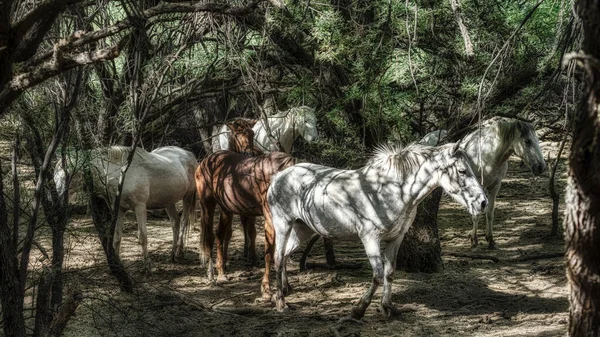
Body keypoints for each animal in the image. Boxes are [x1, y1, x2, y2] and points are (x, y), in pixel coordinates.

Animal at [54, 146, 197, 270]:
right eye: (55, 176)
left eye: (67, 174)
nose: (57, 200)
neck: (121, 176)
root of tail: (188, 154)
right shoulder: (119, 210)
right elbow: (117, 237)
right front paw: (117, 263)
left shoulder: (140, 207)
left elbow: (142, 237)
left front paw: (147, 265)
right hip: (168, 202)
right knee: (175, 222)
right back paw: (172, 255)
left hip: (188, 197)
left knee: (183, 221)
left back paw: (178, 252)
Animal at [197, 151, 298, 298]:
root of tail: (205, 161)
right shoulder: (270, 222)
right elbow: (269, 255)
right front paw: (266, 289)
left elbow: (283, 254)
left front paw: (286, 287)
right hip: (207, 204)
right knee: (209, 237)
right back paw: (211, 275)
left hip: (226, 209)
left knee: (220, 235)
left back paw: (222, 273)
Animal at [268, 142, 488, 318]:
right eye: (462, 171)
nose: (483, 203)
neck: (391, 192)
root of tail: (279, 176)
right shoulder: (370, 238)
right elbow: (377, 275)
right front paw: (359, 309)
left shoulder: (395, 239)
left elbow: (389, 272)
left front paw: (388, 308)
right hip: (283, 224)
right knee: (278, 258)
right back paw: (281, 303)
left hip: (302, 229)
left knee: (285, 256)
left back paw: (286, 290)